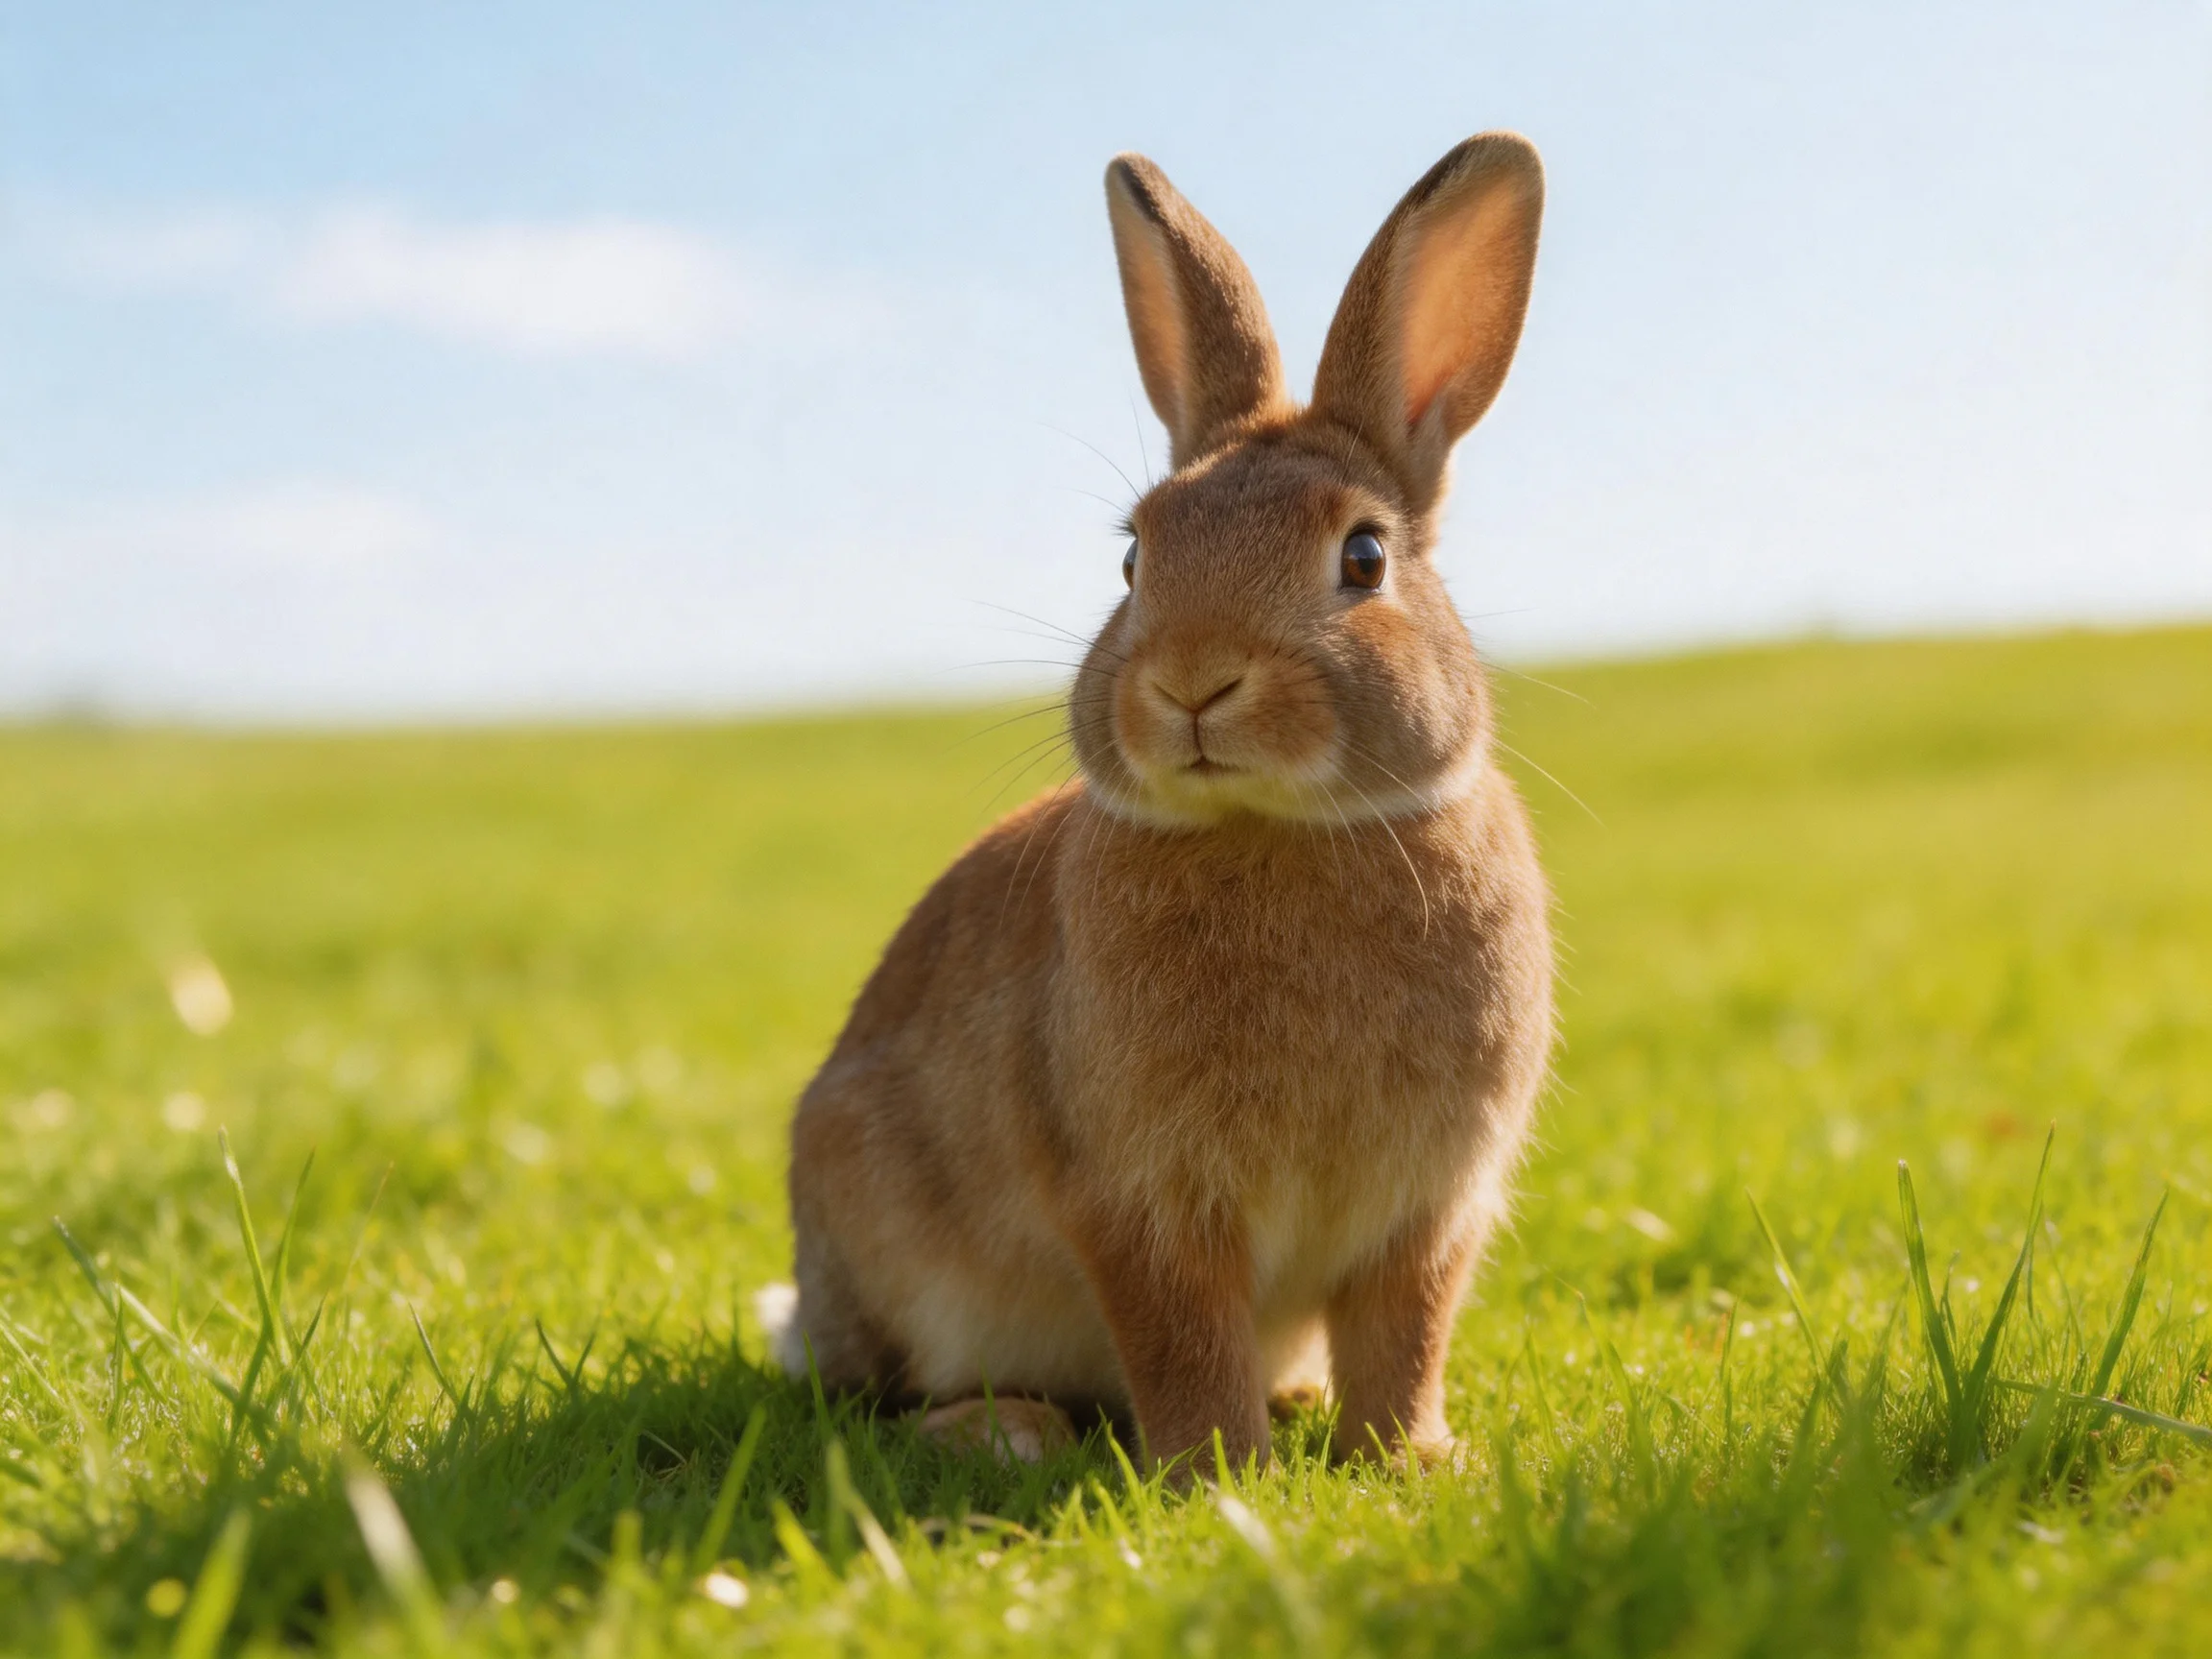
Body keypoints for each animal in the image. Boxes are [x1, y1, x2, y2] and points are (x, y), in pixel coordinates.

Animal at [761, 132, 1555, 1478]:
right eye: (1135, 559)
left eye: (1364, 558)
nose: (1191, 681)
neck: (1279, 830)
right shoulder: (1139, 1195)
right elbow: (1181, 1335)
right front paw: (1222, 1470)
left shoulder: (1430, 1206)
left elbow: (1407, 1333)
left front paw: (1406, 1459)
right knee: (879, 1398)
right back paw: (1006, 1431)